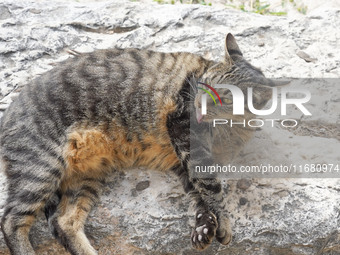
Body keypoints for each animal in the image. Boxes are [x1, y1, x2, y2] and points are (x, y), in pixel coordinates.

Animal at [0, 34, 276, 255]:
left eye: (227, 98)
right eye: (205, 83)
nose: (198, 102)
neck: (230, 131)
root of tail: (6, 115)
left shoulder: (182, 160)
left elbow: (199, 194)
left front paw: (205, 227)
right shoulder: (184, 134)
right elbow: (211, 188)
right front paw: (222, 222)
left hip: (86, 175)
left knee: (64, 222)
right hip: (41, 166)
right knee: (12, 221)